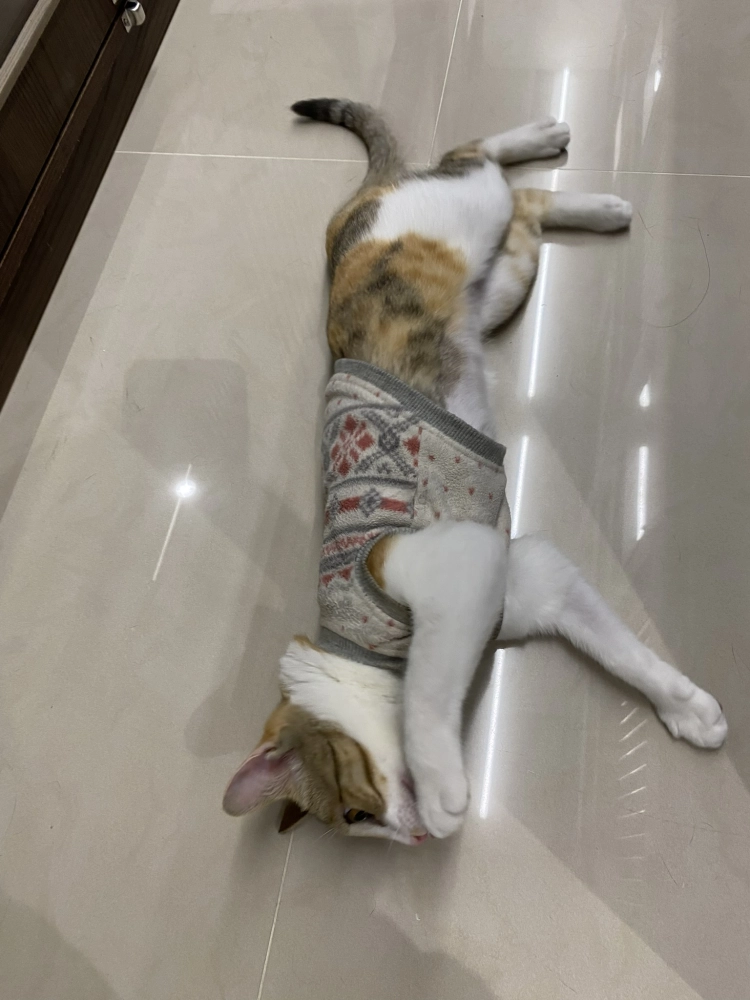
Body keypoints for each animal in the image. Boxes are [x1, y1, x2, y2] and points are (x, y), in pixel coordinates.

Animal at [223, 99, 727, 845]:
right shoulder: (532, 577)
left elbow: (425, 688)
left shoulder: (443, 562)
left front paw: (441, 784)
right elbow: (623, 652)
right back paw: (600, 204)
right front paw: (687, 707)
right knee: (527, 205)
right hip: (503, 281)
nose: (413, 836)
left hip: (464, 214)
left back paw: (542, 137)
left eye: (355, 811)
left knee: (474, 157)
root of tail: (359, 204)